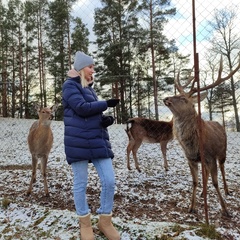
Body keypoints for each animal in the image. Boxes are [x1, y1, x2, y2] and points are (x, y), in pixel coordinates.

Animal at [163, 56, 240, 218]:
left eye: (184, 99)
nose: (166, 98)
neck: (193, 145)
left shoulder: (211, 156)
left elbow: (216, 183)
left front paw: (225, 210)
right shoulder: (191, 159)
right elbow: (195, 182)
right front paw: (191, 207)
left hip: (222, 152)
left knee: (222, 168)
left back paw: (227, 190)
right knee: (206, 174)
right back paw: (202, 193)